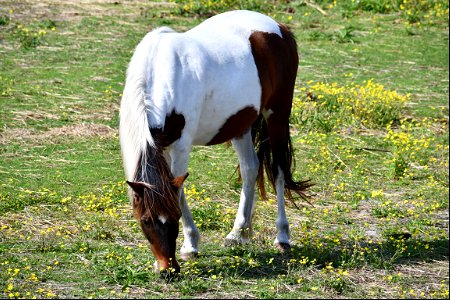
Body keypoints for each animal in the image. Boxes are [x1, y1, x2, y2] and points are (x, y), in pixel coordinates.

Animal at [118, 9, 312, 274]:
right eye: (145, 220)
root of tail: (279, 27)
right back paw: (238, 233)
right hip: (241, 123)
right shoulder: (162, 145)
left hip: (277, 115)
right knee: (251, 168)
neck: (159, 78)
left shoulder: (181, 145)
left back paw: (282, 237)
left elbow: (179, 192)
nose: (168, 270)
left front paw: (190, 245)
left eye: (175, 215)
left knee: (279, 170)